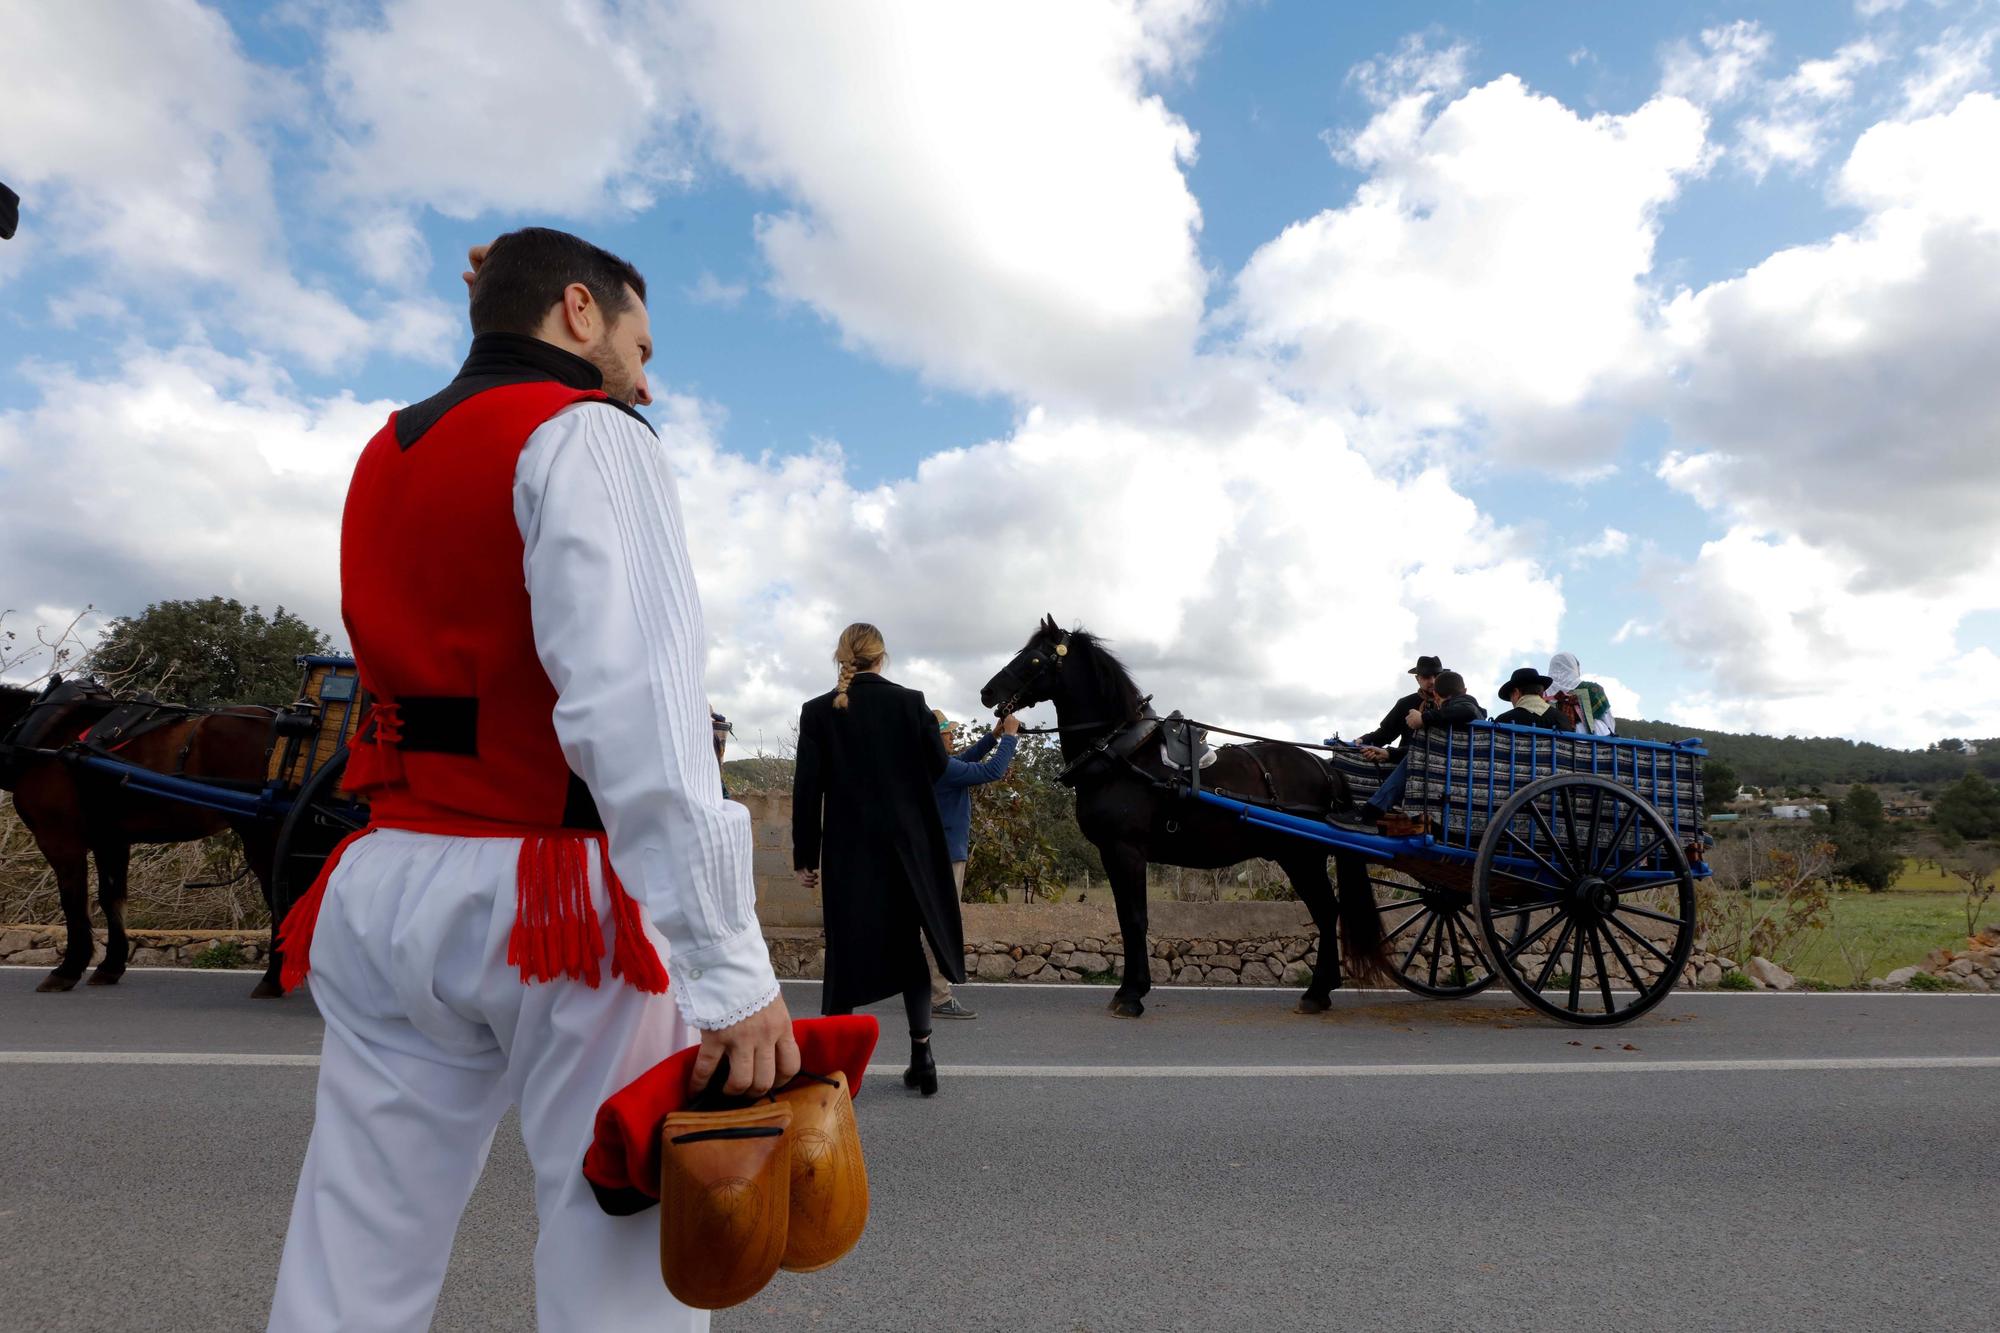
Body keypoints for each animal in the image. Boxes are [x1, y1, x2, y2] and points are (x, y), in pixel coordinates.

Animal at [0, 684, 290, 984]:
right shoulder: (110, 839)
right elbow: (110, 898)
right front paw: (110, 966)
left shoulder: (59, 838)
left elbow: (73, 901)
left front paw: (68, 969)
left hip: (259, 831)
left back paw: (274, 977)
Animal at [976, 616, 1384, 1016]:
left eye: (1033, 658)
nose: (987, 693)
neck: (1121, 754)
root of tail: (1323, 766)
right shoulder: (1113, 854)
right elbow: (1125, 919)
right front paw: (1130, 989)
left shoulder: (1125, 850)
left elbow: (1135, 919)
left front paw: (1131, 995)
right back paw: (1322, 990)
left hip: (1301, 857)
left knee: (1326, 911)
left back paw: (1316, 992)